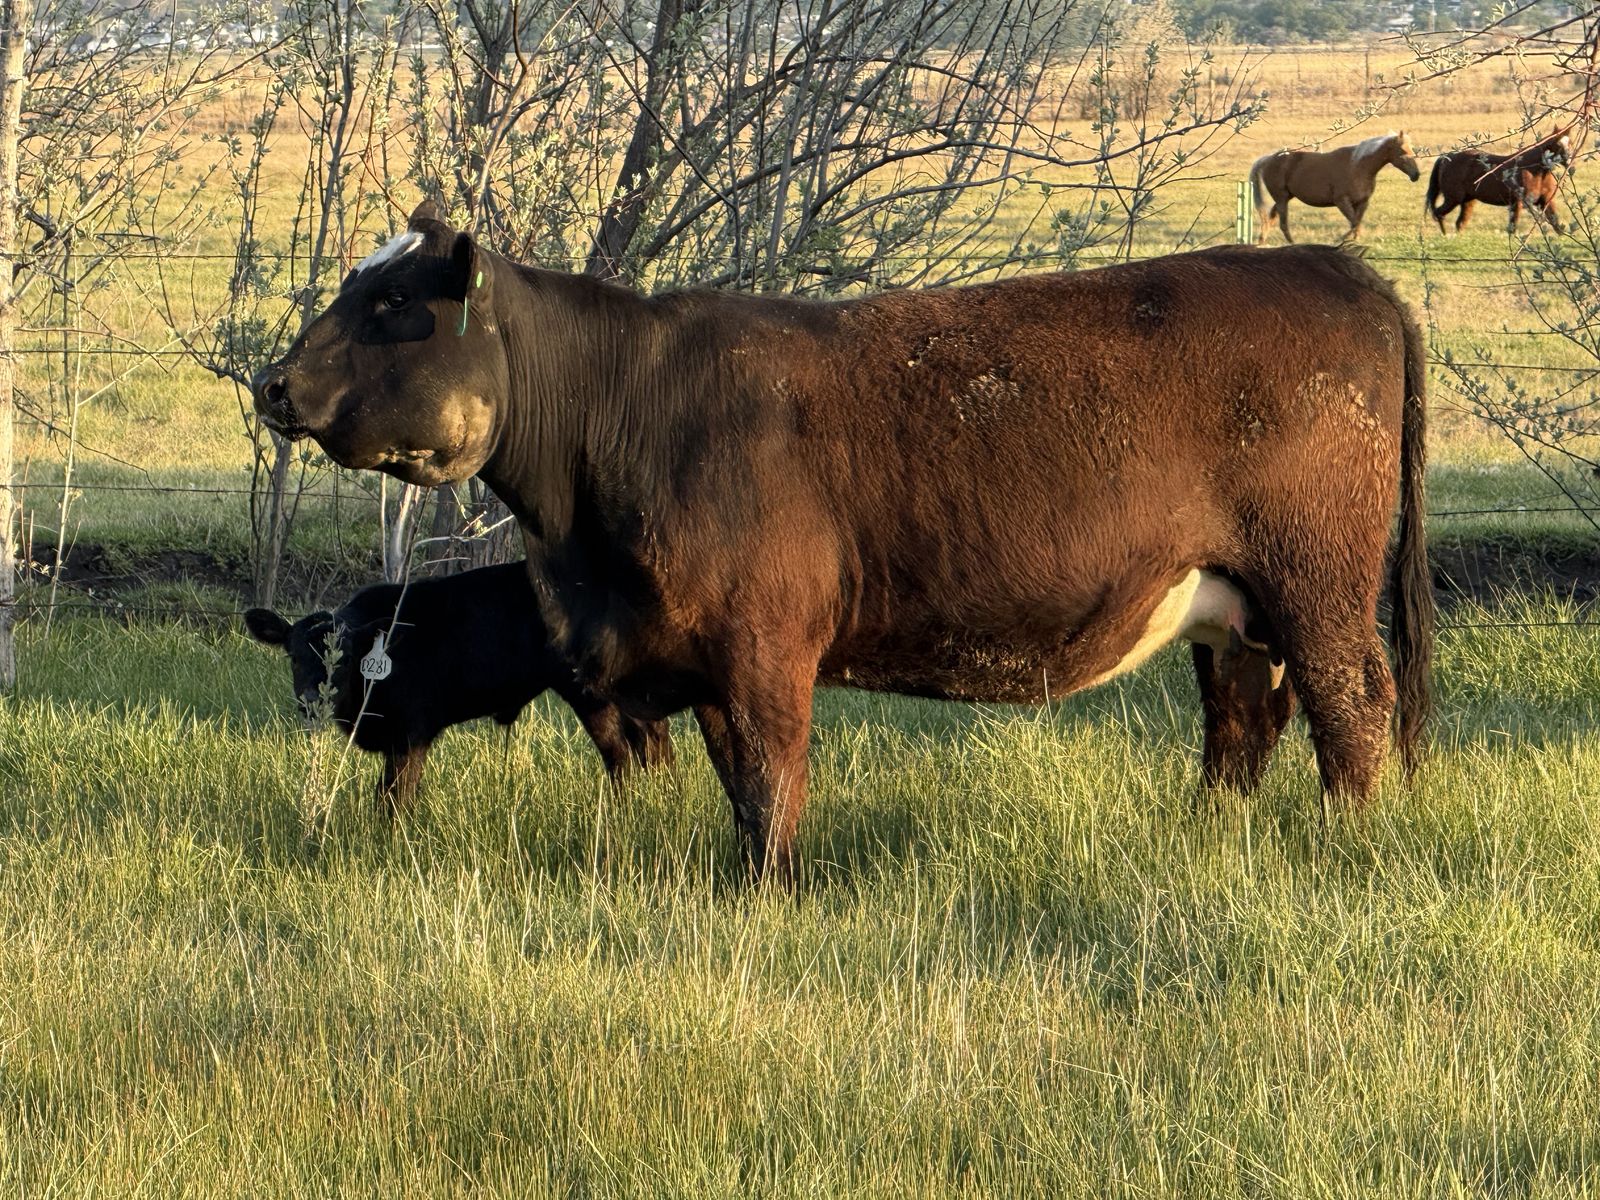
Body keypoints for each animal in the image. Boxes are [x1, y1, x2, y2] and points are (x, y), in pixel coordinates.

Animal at [243, 561, 674, 811]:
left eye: (346, 657)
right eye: (293, 656)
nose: (312, 701)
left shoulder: (412, 733)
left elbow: (395, 796)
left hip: (589, 694)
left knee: (621, 752)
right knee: (650, 737)